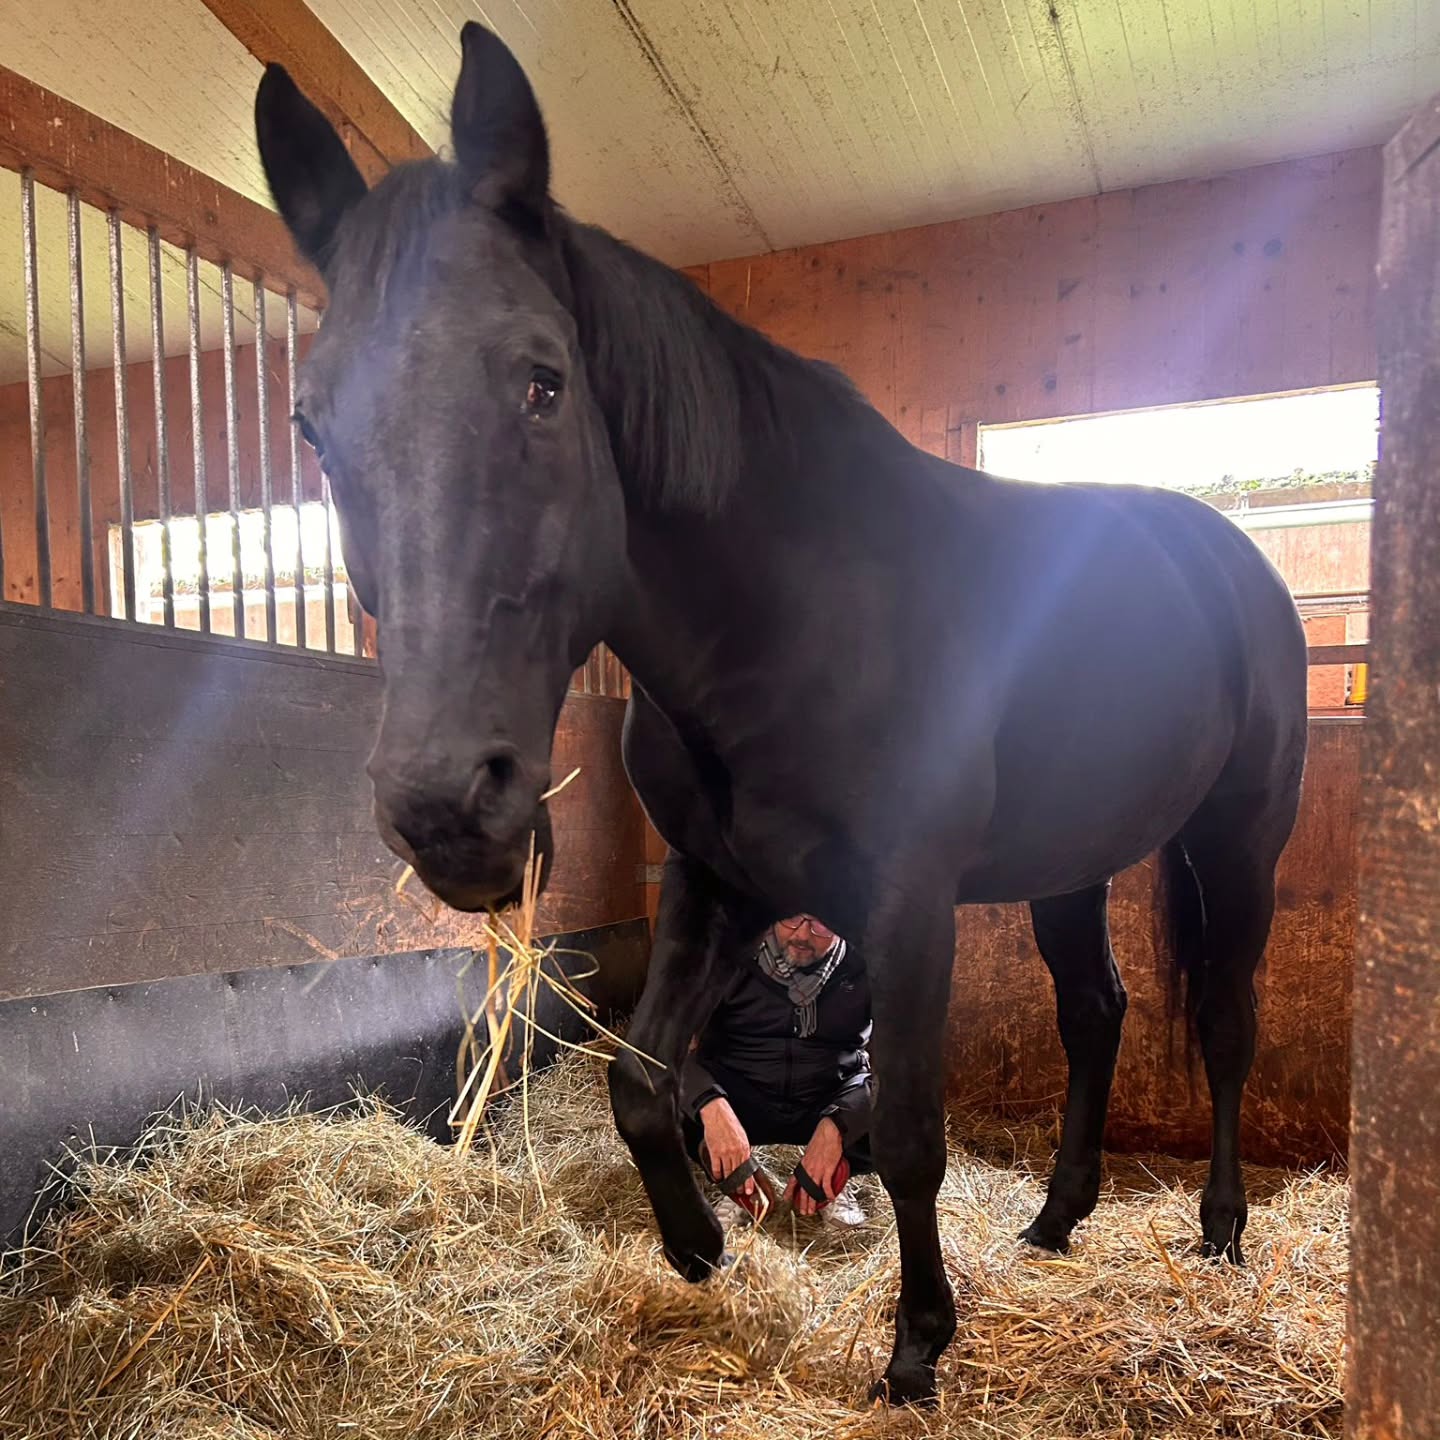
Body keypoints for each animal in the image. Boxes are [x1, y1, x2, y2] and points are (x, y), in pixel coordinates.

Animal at [254, 23, 1308, 1404]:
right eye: (312, 423)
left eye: (542, 383)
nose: (447, 811)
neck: (790, 619)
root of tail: (1231, 564)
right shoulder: (717, 885)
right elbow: (642, 1080)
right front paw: (700, 1246)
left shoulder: (909, 907)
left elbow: (906, 1133)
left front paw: (917, 1345)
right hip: (1069, 863)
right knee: (1099, 1014)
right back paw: (1054, 1220)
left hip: (1237, 842)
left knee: (1227, 1028)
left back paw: (1223, 1229)